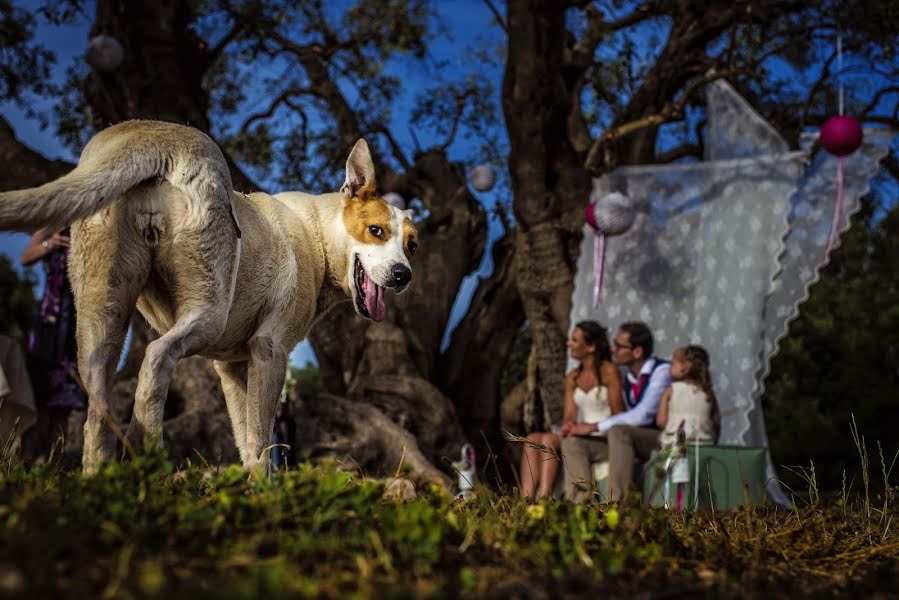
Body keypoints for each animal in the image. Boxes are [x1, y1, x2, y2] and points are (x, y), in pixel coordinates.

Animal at [0, 118, 418, 474]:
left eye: (412, 246)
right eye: (376, 231)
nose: (404, 275)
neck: (318, 232)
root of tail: (157, 137)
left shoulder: (232, 367)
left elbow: (246, 438)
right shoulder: (270, 351)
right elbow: (262, 440)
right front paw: (265, 493)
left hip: (101, 317)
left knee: (97, 403)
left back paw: (102, 477)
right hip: (208, 309)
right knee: (155, 358)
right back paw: (147, 456)